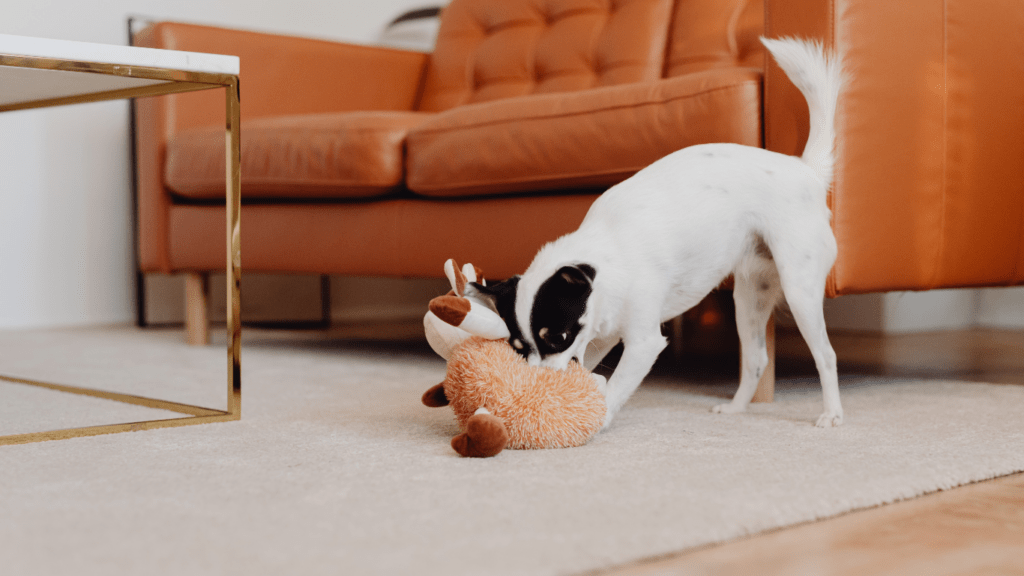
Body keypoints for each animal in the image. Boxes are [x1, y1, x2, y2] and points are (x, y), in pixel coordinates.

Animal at [468, 36, 843, 426]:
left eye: (558, 336)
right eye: (520, 349)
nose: (542, 382)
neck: (607, 260)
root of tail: (805, 170)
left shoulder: (643, 343)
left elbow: (615, 388)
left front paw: (595, 419)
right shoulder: (599, 338)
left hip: (799, 289)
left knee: (826, 355)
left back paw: (831, 413)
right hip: (750, 296)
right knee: (756, 359)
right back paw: (737, 408)